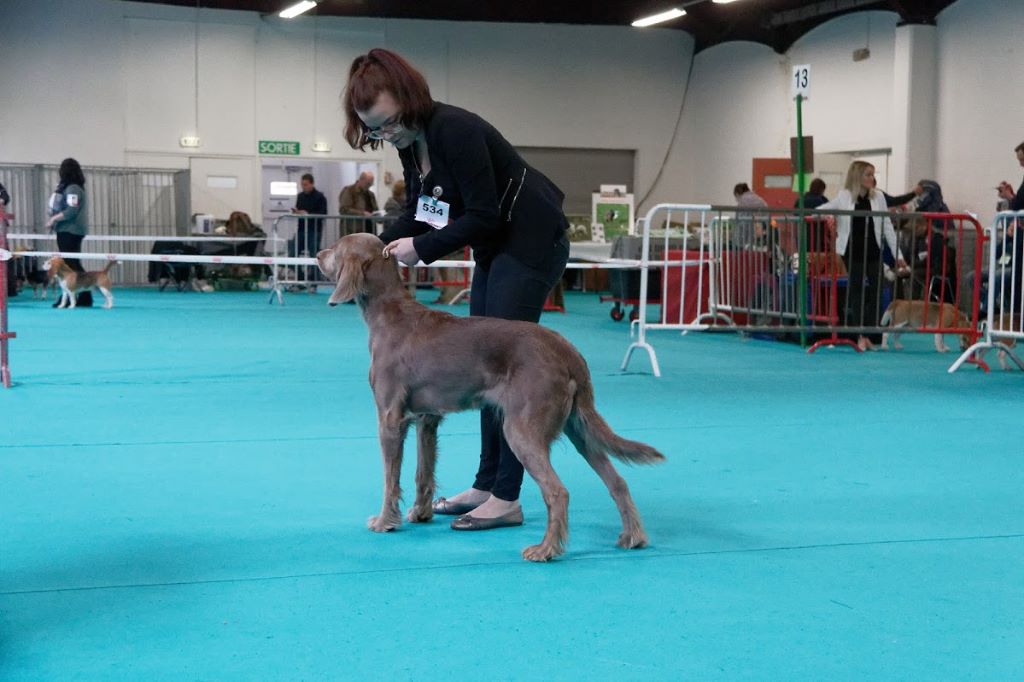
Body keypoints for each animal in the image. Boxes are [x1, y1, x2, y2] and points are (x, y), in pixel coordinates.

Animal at [317, 231, 663, 561]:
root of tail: (567, 350)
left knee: (558, 492)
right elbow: (422, 473)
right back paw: (633, 537)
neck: (390, 314)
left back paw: (545, 550)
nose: (319, 254)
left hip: (521, 428)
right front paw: (420, 514)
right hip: (578, 427)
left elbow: (391, 478)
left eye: (337, 248)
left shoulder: (389, 418)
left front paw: (384, 521)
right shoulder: (427, 419)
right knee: (617, 481)